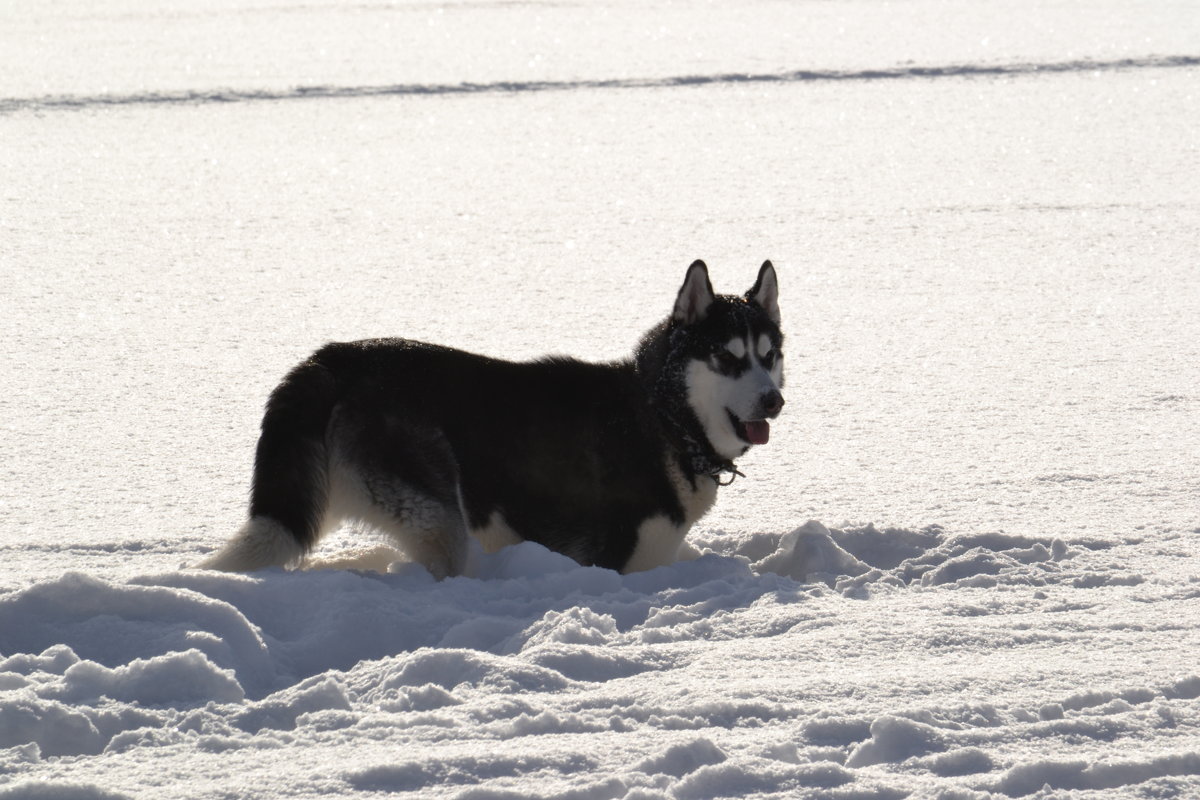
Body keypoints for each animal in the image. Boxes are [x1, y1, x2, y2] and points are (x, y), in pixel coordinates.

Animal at [199, 260, 777, 578]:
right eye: (727, 358)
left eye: (770, 356)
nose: (773, 401)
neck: (664, 419)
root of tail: (331, 360)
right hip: (440, 519)